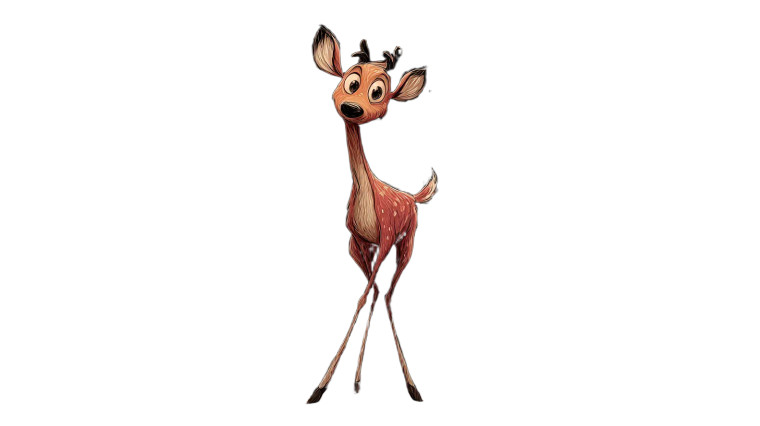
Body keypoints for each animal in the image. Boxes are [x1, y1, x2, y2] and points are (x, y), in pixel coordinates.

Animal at [306, 25, 436, 404]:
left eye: (378, 92)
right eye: (351, 81)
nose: (351, 107)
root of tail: (413, 196)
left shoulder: (388, 236)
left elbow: (366, 295)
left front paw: (321, 385)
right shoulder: (358, 241)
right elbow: (365, 294)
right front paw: (327, 384)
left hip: (406, 245)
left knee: (389, 292)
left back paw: (411, 385)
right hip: (364, 249)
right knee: (380, 291)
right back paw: (358, 378)